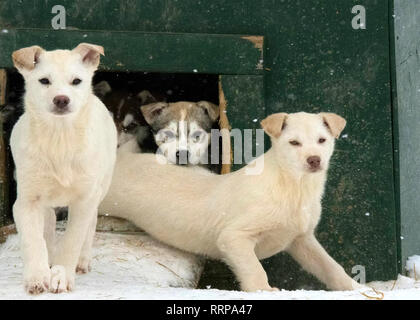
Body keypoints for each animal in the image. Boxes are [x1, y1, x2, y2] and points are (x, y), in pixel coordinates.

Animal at [100, 111, 362, 292]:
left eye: (322, 140)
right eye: (294, 143)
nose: (314, 160)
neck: (295, 186)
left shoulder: (302, 239)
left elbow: (331, 266)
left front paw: (357, 289)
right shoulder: (234, 237)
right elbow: (255, 270)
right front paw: (264, 291)